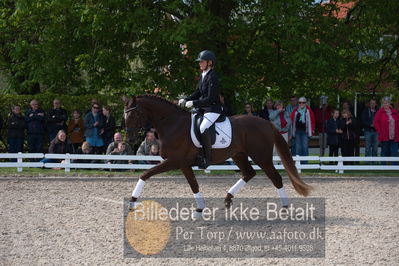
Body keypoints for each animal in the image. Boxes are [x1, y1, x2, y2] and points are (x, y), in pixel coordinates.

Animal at [125, 95, 312, 218]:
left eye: (134, 114)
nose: (131, 140)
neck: (173, 124)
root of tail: (266, 123)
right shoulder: (183, 164)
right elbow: (194, 185)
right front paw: (199, 210)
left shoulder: (174, 161)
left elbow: (145, 174)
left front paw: (132, 201)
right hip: (239, 155)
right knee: (249, 173)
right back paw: (228, 199)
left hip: (261, 157)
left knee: (276, 177)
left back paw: (284, 208)